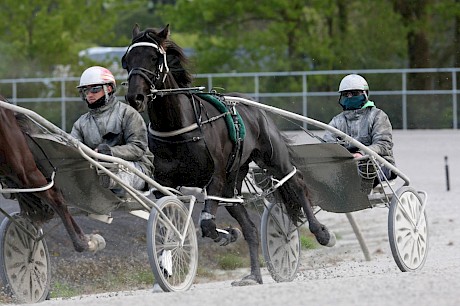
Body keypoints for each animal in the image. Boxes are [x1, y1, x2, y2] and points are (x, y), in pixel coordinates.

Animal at [123, 23, 334, 284]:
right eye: (126, 60)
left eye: (154, 58)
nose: (135, 97)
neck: (178, 127)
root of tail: (253, 105)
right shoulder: (166, 183)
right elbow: (169, 222)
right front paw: (167, 265)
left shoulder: (215, 177)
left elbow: (207, 224)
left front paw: (226, 234)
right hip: (232, 181)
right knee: (249, 226)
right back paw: (253, 275)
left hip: (272, 158)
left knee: (297, 183)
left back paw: (321, 232)